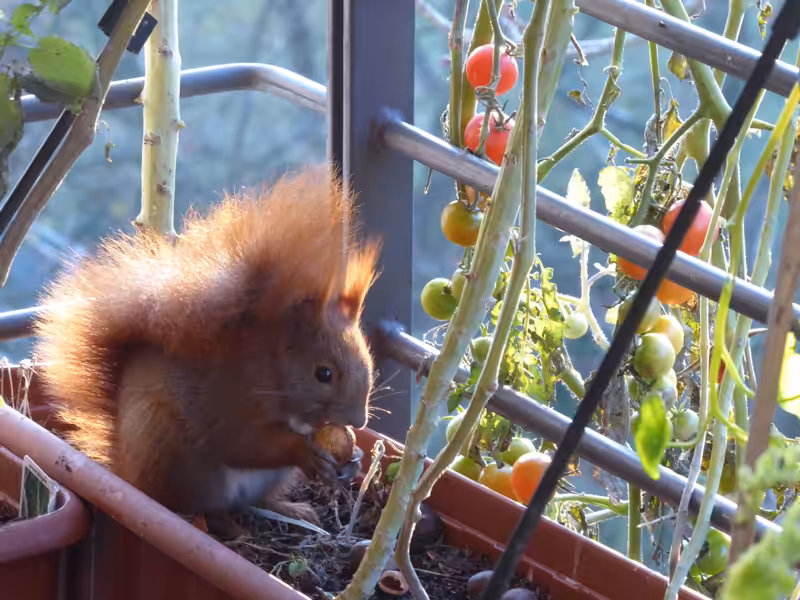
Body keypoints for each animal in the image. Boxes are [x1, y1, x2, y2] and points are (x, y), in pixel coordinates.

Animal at [32, 166, 381, 532]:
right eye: (323, 373)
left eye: (369, 363)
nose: (359, 420)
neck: (272, 369)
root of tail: (126, 470)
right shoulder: (226, 398)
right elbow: (240, 443)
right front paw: (303, 450)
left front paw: (354, 457)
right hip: (173, 455)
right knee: (191, 505)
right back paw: (220, 526)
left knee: (257, 501)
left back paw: (292, 509)